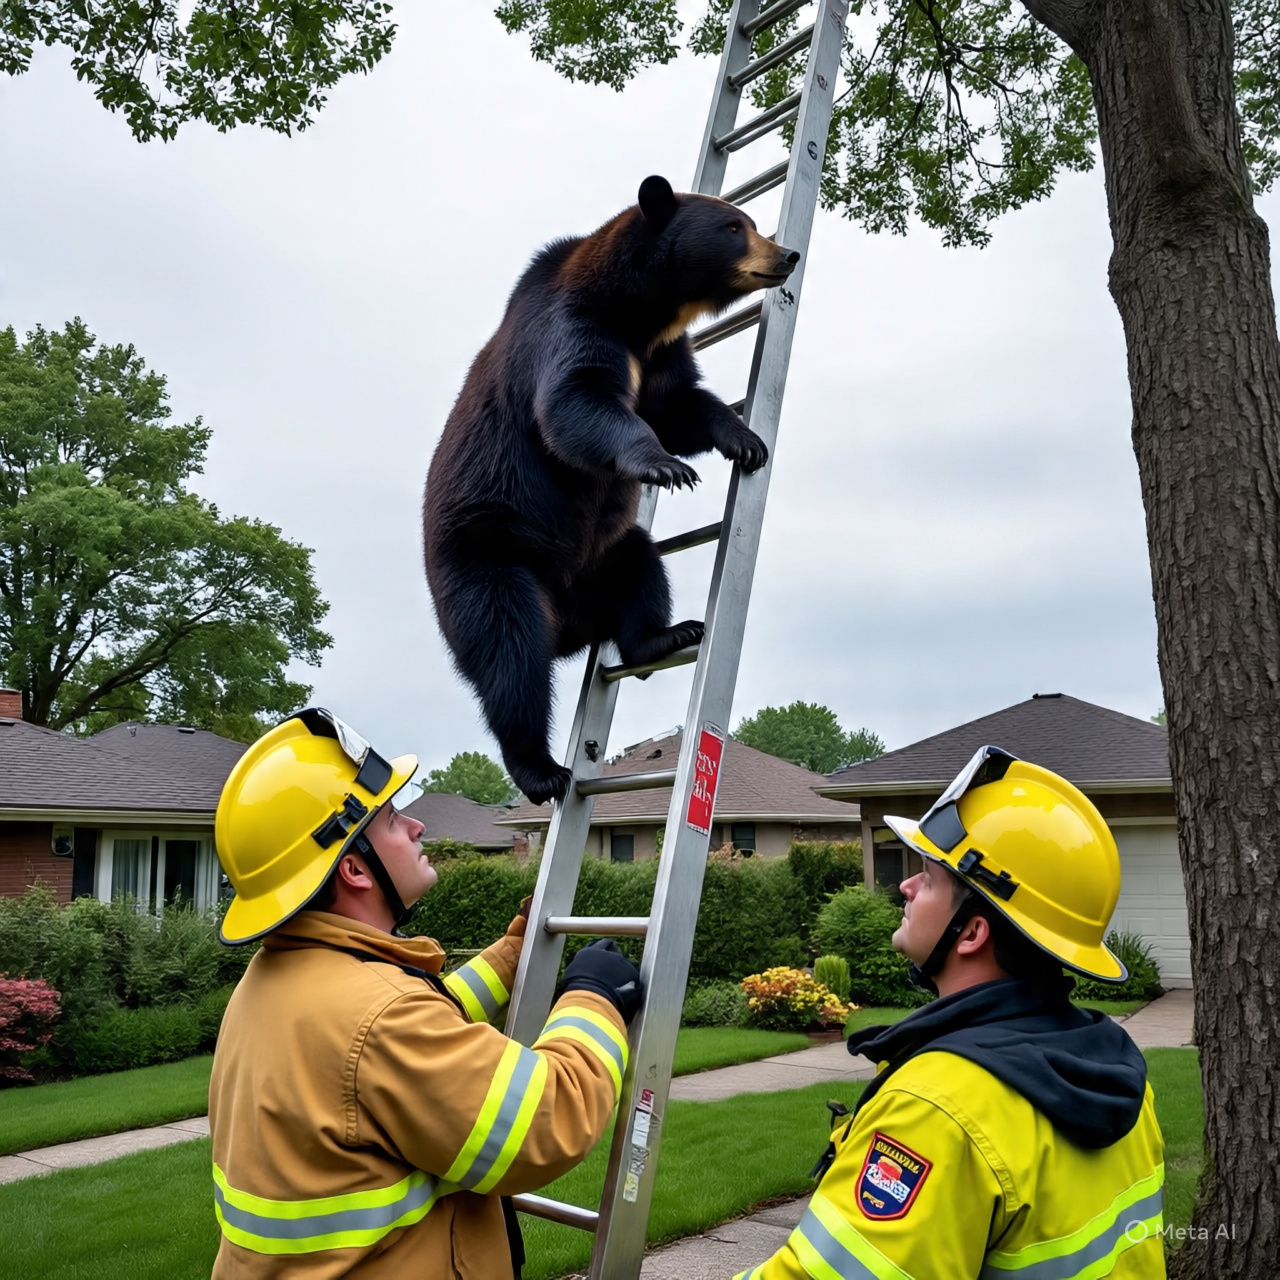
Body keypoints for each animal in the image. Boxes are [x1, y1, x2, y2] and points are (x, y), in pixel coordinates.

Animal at [423, 175, 799, 804]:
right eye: (734, 227)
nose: (788, 255)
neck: (642, 317)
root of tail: (568, 629)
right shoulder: (573, 327)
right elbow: (578, 401)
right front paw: (666, 466)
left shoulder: (661, 355)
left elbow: (678, 404)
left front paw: (746, 441)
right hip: (486, 561)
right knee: (511, 655)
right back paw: (540, 768)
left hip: (607, 556)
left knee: (642, 572)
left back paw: (670, 633)